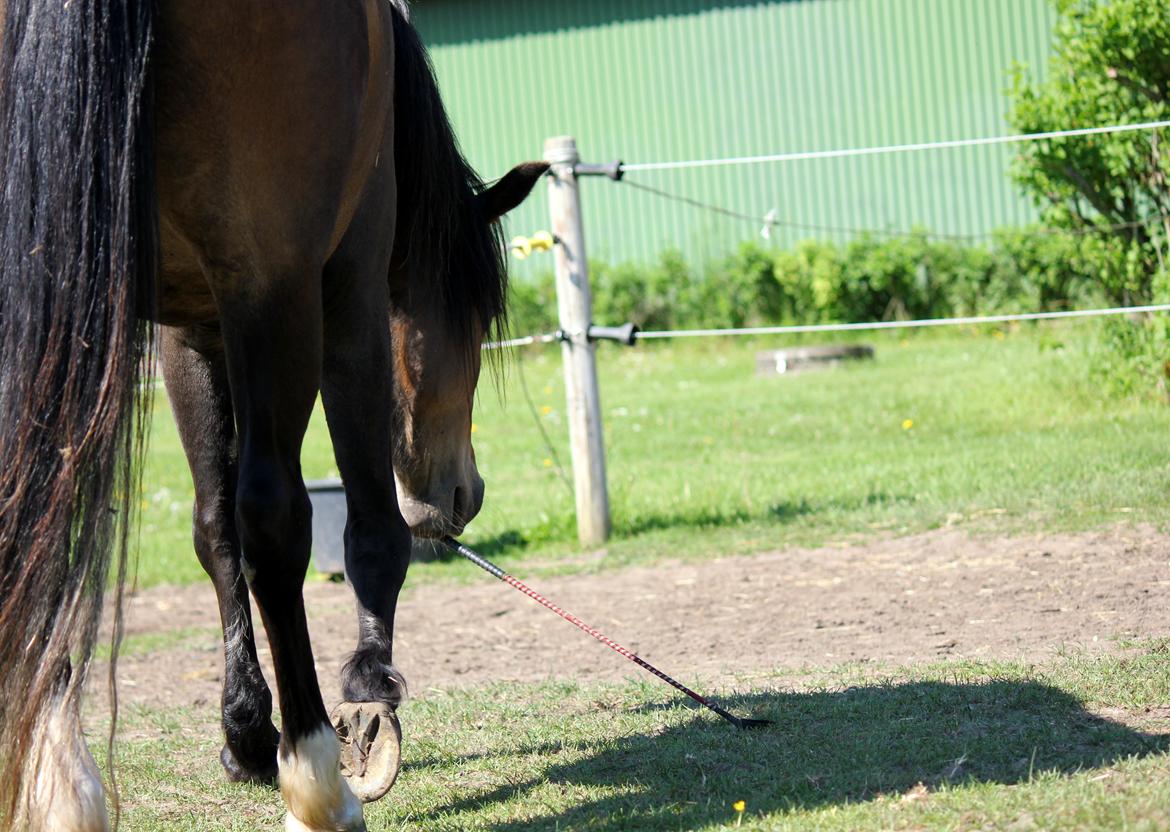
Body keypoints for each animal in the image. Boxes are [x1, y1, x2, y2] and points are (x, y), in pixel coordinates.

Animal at [0, 3, 542, 828]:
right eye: (480, 315)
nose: (462, 494)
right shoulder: (348, 282)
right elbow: (367, 528)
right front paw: (368, 698)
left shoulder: (189, 330)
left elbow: (212, 529)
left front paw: (247, 731)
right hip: (273, 278)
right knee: (275, 518)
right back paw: (317, 775)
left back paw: (56, 776)